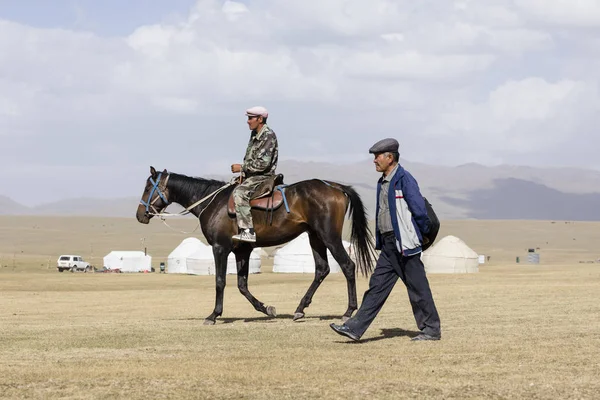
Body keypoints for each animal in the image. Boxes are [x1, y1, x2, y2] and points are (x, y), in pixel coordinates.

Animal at [136, 166, 376, 324]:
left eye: (148, 187)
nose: (139, 215)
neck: (211, 202)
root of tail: (335, 187)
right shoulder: (243, 250)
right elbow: (242, 285)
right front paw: (267, 309)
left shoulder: (220, 248)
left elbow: (220, 281)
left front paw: (213, 315)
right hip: (315, 237)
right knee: (322, 269)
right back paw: (300, 309)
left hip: (329, 236)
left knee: (347, 266)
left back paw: (348, 311)